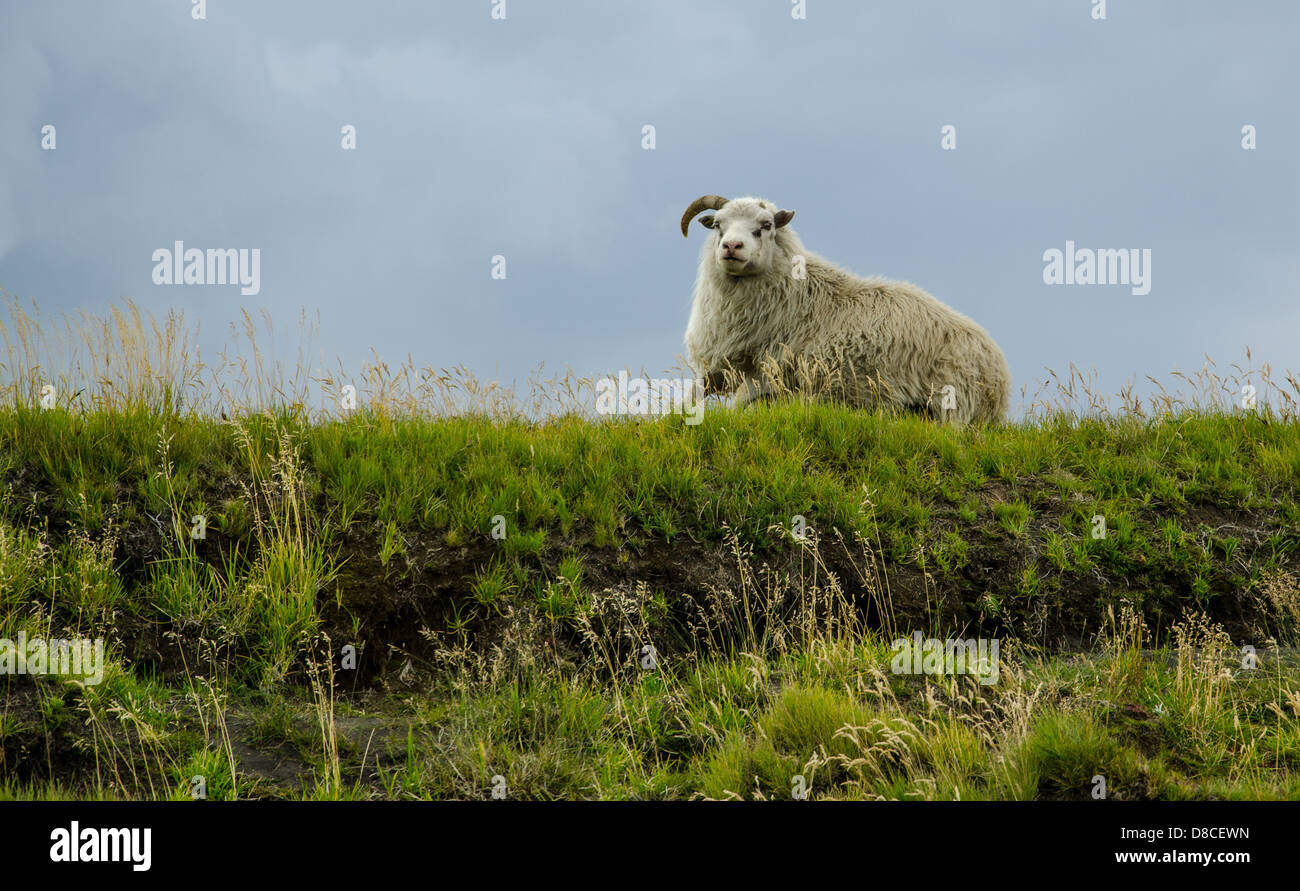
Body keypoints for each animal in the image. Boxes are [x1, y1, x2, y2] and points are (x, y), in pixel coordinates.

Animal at [681, 196, 1013, 426]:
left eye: (765, 226)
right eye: (718, 225)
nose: (731, 246)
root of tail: (999, 372)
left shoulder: (766, 372)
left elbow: (738, 408)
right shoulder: (723, 370)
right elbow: (691, 397)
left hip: (953, 404)